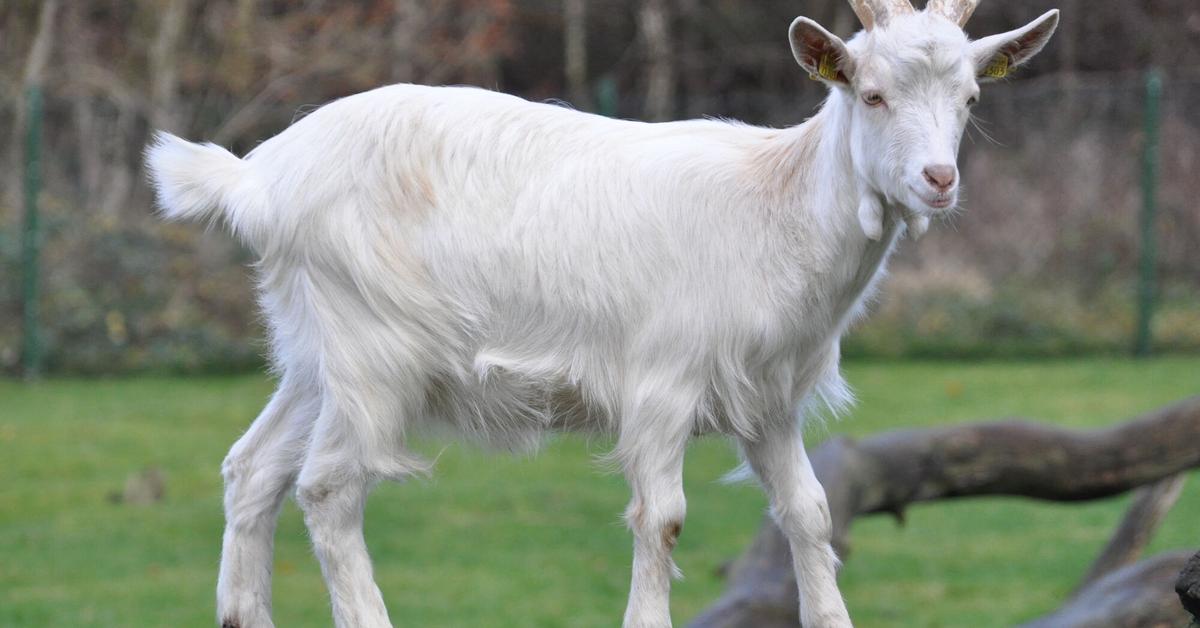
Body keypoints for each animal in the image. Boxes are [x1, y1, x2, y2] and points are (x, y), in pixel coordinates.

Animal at [145, 2, 1056, 624]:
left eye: (971, 100)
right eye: (870, 94)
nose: (939, 180)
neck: (773, 206)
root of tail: (258, 179)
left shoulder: (768, 401)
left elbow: (810, 512)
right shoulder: (661, 380)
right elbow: (664, 520)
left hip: (313, 351)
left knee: (253, 466)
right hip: (375, 350)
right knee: (328, 487)